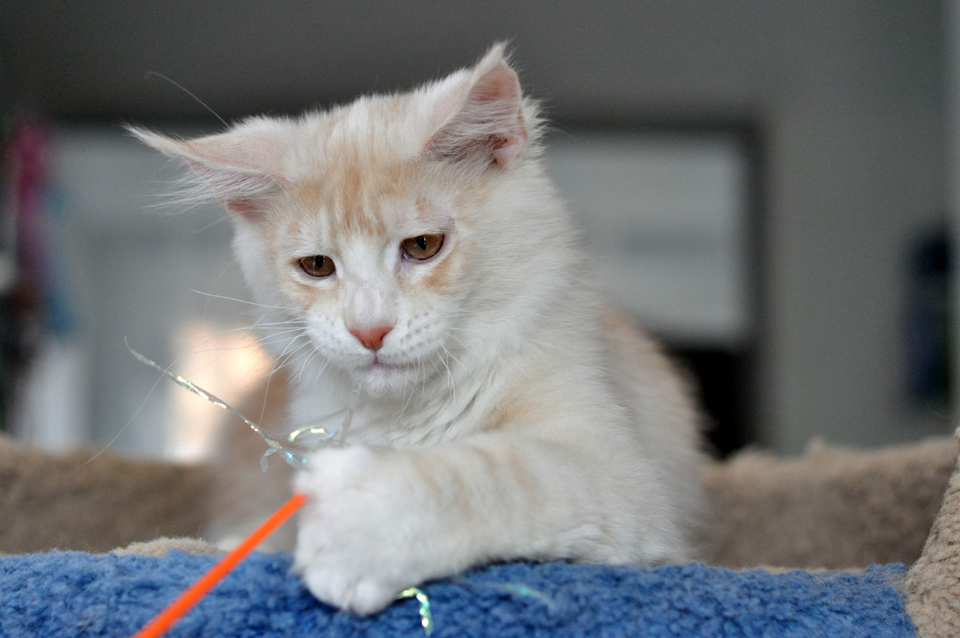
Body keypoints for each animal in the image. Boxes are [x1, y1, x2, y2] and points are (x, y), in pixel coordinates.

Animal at [133, 43, 704, 616]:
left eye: (423, 246)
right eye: (317, 266)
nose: (370, 331)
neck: (408, 415)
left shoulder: (615, 469)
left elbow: (489, 473)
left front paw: (359, 526)